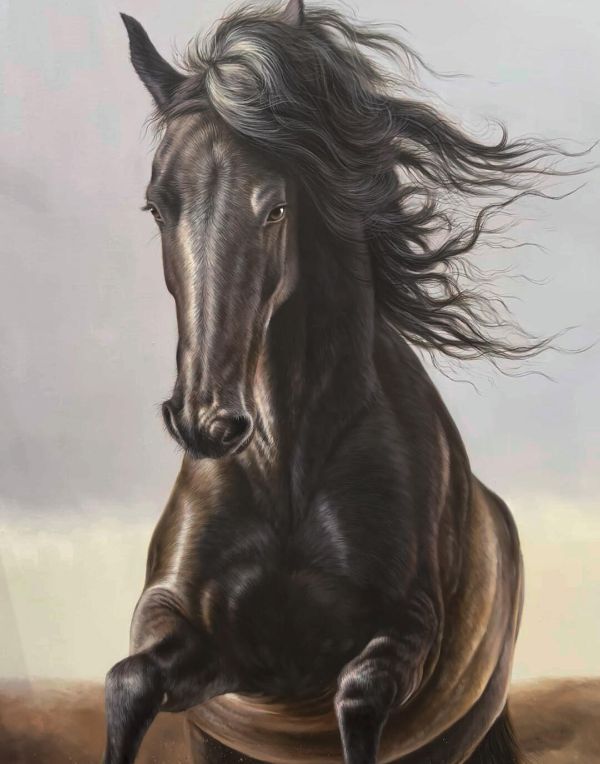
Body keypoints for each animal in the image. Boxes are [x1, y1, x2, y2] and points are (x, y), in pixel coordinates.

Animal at [105, 1, 573, 762]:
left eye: (275, 208)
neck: (285, 467)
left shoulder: (405, 632)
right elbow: (128, 680)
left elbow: (358, 697)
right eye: (157, 206)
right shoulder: (201, 635)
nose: (206, 422)